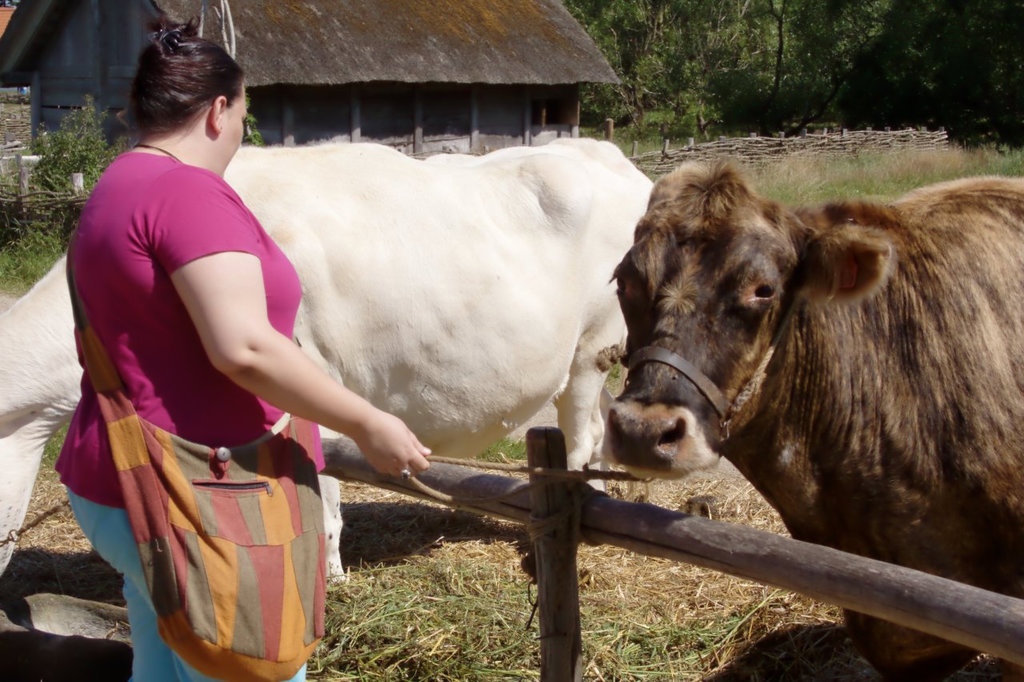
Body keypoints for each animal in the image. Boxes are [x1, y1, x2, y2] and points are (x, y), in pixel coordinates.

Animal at [0, 138, 655, 573]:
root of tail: (610, 155)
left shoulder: (307, 371)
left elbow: (322, 486)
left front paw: (330, 576)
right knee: (604, 425)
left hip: (592, 347)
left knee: (579, 436)